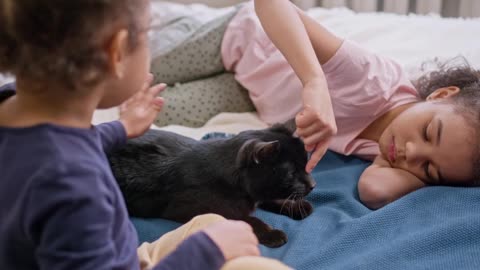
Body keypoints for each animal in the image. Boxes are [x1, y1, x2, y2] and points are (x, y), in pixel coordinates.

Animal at [108, 125, 316, 248]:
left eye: (306, 164)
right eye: (291, 173)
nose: (313, 185)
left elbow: (267, 198)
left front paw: (297, 207)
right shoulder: (194, 208)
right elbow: (246, 219)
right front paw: (271, 233)